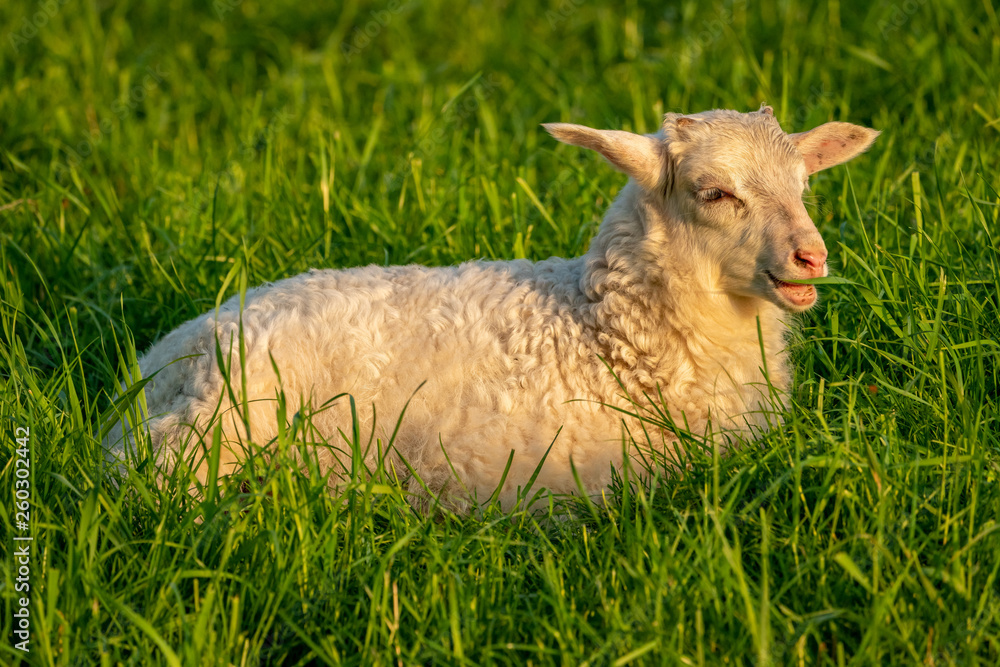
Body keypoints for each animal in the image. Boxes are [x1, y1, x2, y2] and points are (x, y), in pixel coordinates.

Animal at [105, 104, 879, 511]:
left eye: (805, 184)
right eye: (714, 192)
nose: (811, 257)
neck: (604, 333)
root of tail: (157, 363)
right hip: (218, 428)